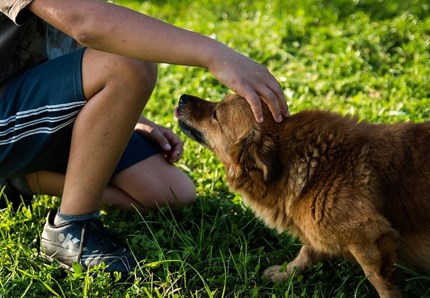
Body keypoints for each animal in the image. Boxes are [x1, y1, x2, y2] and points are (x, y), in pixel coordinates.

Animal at [176, 92, 430, 296]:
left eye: (215, 114)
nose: (182, 97)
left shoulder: (368, 236)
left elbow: (380, 281)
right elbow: (306, 253)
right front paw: (284, 274)